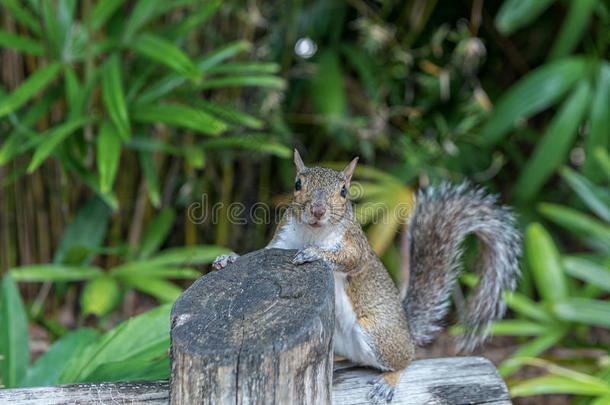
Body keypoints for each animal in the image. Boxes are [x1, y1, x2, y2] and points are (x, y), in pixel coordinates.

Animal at [213, 150, 516, 402]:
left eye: (344, 191)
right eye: (298, 184)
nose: (318, 211)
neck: (313, 232)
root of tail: (407, 330)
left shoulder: (354, 244)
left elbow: (349, 260)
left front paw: (315, 254)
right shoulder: (282, 240)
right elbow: (261, 252)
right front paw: (228, 258)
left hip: (378, 334)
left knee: (406, 359)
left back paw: (388, 382)